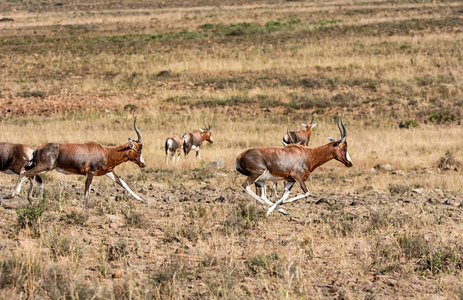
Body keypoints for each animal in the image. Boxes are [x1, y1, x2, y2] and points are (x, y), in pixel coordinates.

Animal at [9, 118, 147, 207]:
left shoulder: (109, 172)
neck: (105, 151)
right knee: (25, 174)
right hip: (45, 166)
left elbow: (123, 183)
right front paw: (84, 208)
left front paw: (142, 199)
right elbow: (87, 190)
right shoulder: (90, 173)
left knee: (25, 173)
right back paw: (13, 194)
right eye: (138, 149)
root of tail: (37, 147)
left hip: (39, 166)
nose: (143, 164)